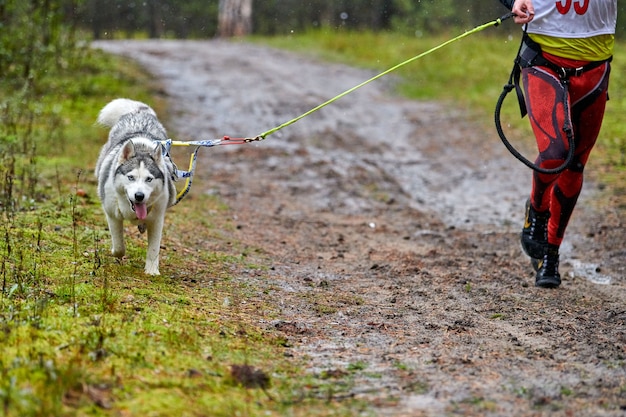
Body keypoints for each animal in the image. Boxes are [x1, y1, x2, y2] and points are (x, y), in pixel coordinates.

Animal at [96, 97, 177, 272]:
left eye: (149, 179)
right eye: (131, 177)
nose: (139, 196)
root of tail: (139, 112)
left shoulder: (157, 218)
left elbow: (153, 248)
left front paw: (152, 271)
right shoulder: (112, 214)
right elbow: (119, 246)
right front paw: (116, 253)